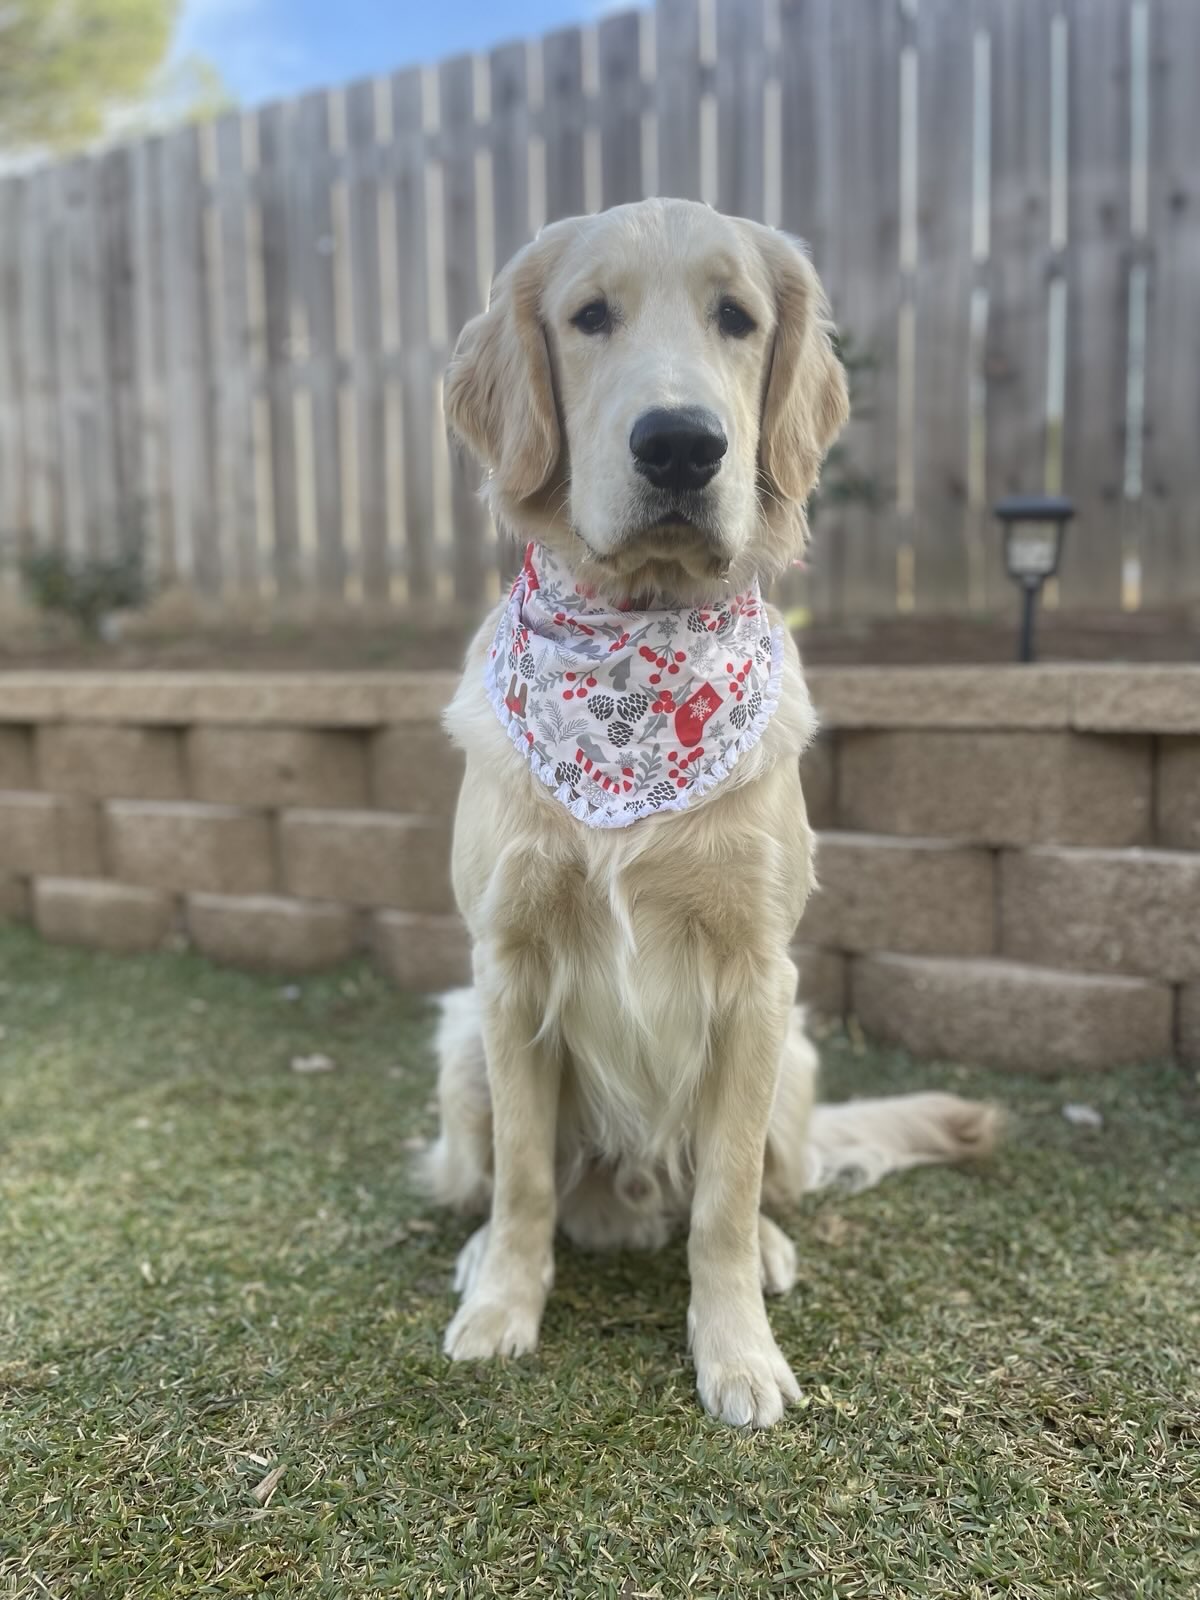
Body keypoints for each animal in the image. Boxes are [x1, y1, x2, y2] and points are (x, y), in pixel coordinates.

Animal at [419, 200, 998, 1427]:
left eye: (737, 317)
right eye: (590, 316)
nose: (680, 445)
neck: (637, 664)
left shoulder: (756, 977)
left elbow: (725, 1199)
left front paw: (736, 1350)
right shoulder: (507, 965)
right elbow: (527, 1178)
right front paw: (503, 1305)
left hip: (801, 1058)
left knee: (749, 1190)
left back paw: (769, 1252)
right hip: (457, 1041)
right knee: (507, 1181)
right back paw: (484, 1251)